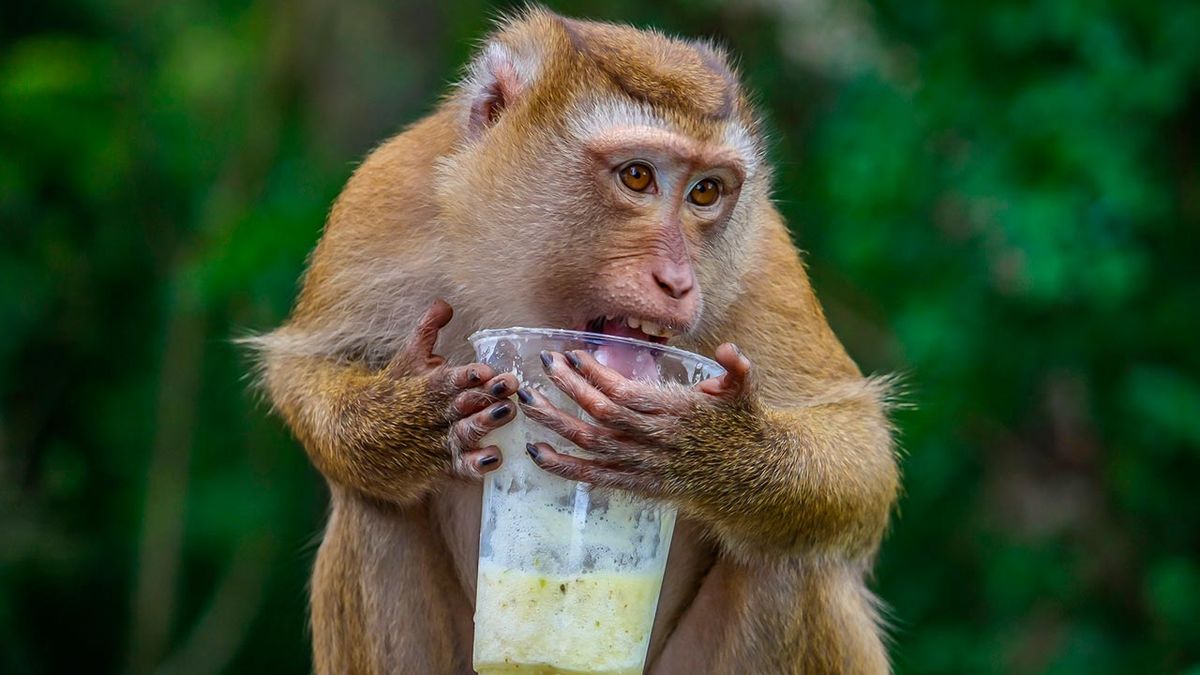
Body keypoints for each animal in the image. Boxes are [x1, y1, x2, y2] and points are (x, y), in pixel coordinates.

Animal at [247, 8, 898, 674]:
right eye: (637, 175)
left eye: (706, 191)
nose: (679, 281)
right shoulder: (384, 200)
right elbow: (309, 364)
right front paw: (407, 422)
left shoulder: (761, 253)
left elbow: (857, 453)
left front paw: (698, 446)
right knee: (374, 505)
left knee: (792, 558)